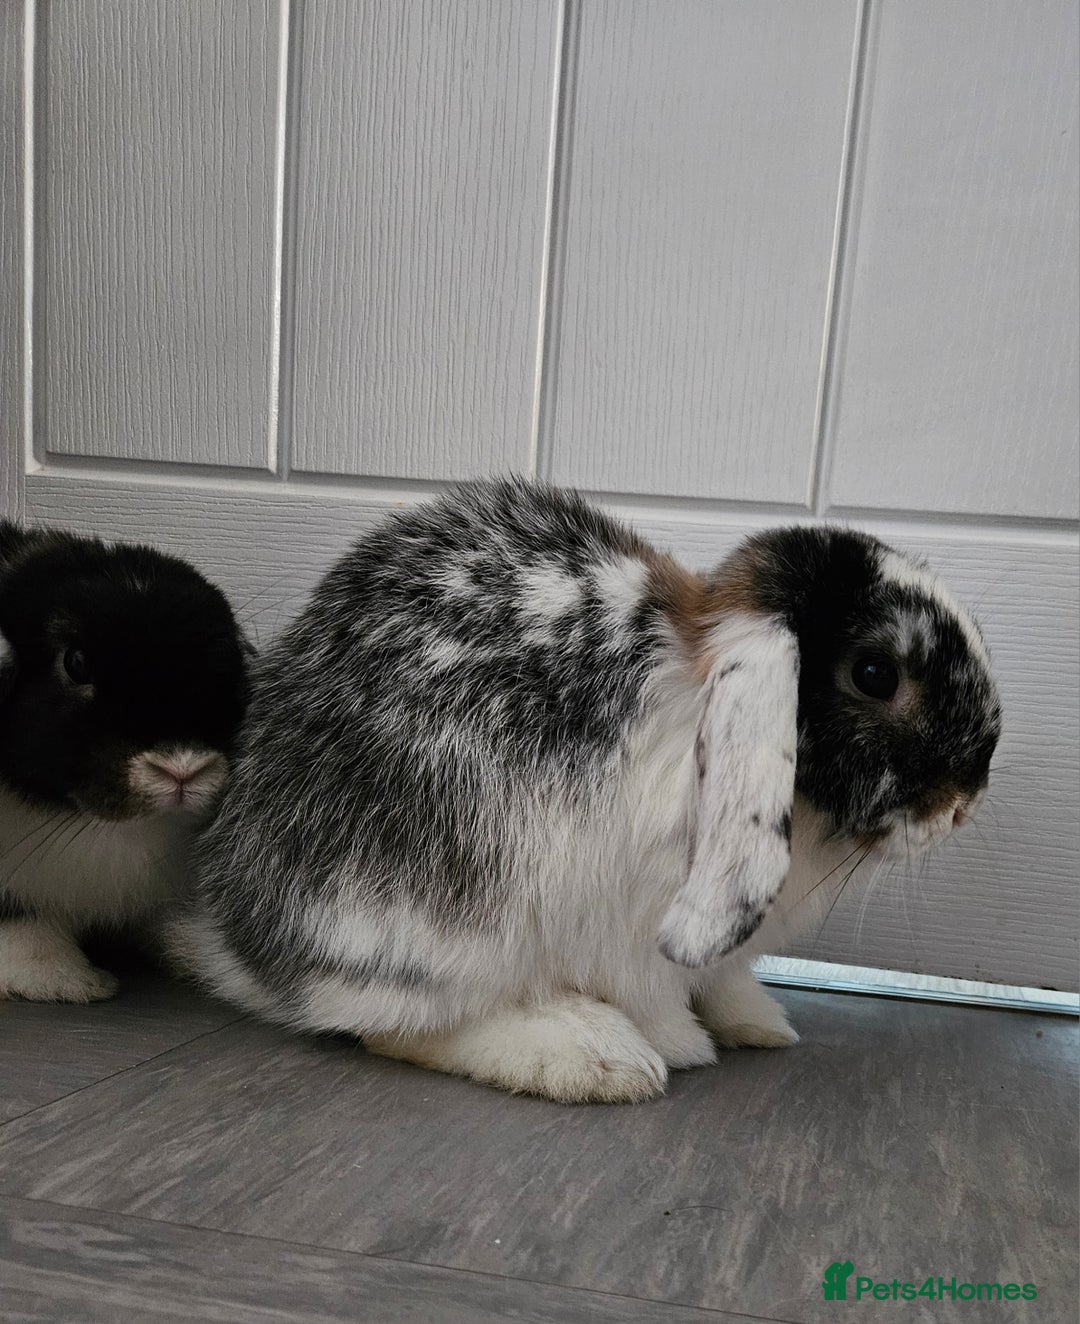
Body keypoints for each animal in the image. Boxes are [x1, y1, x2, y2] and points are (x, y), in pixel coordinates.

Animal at [0, 520, 249, 1002]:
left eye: (227, 657)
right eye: (76, 663)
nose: (183, 768)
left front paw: (195, 953)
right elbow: (21, 928)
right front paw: (69, 980)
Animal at [169, 478, 1001, 1103]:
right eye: (875, 674)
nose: (966, 801)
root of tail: (236, 938)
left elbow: (726, 980)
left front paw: (757, 1023)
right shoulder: (634, 937)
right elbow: (657, 995)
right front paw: (683, 1045)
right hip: (439, 918)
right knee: (394, 1020)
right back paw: (598, 1057)